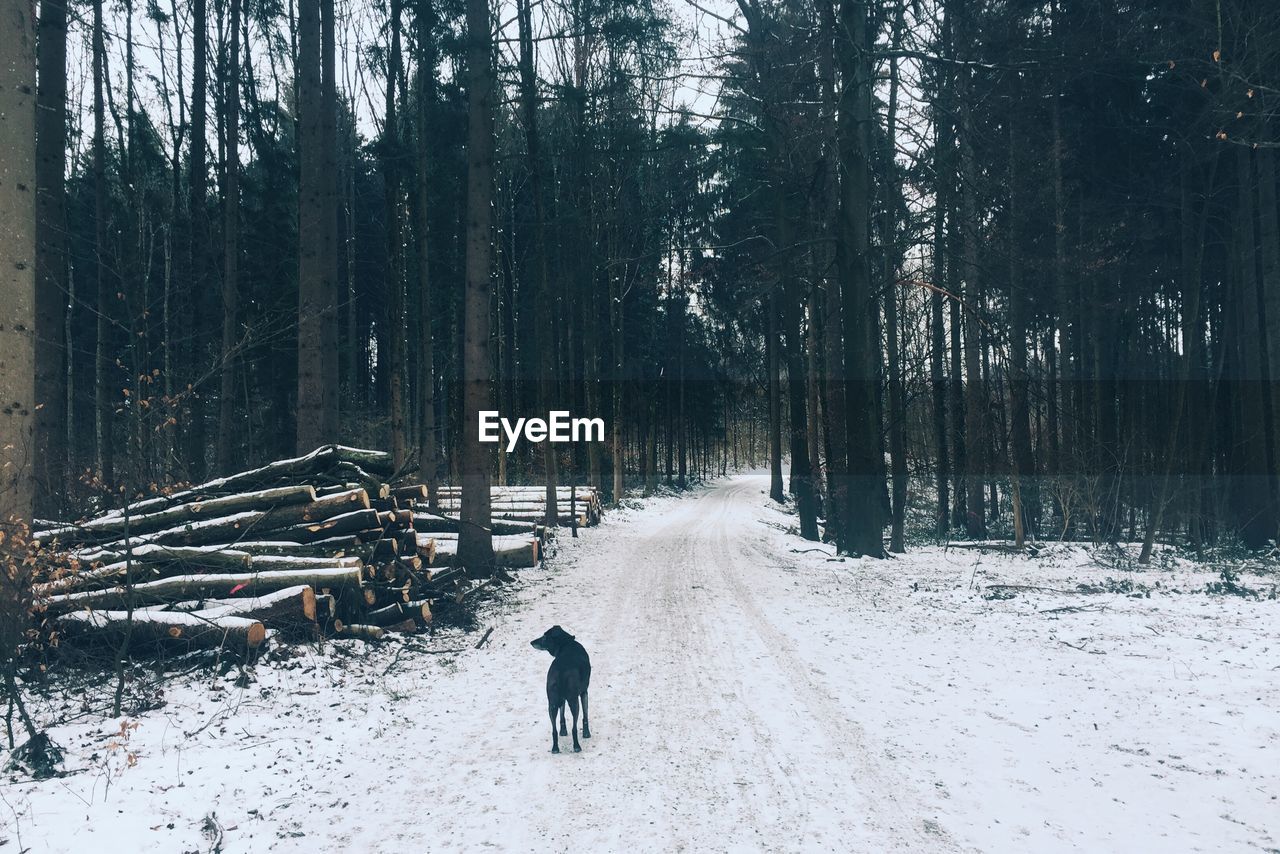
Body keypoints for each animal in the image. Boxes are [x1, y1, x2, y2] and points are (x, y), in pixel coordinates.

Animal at [529, 624, 588, 752]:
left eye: (544, 637)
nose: (531, 642)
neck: (566, 644)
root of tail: (561, 671)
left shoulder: (561, 699)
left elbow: (562, 715)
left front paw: (563, 731)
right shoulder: (584, 691)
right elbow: (586, 714)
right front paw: (587, 733)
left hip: (552, 703)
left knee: (554, 730)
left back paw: (555, 748)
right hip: (573, 701)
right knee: (574, 728)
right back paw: (576, 746)